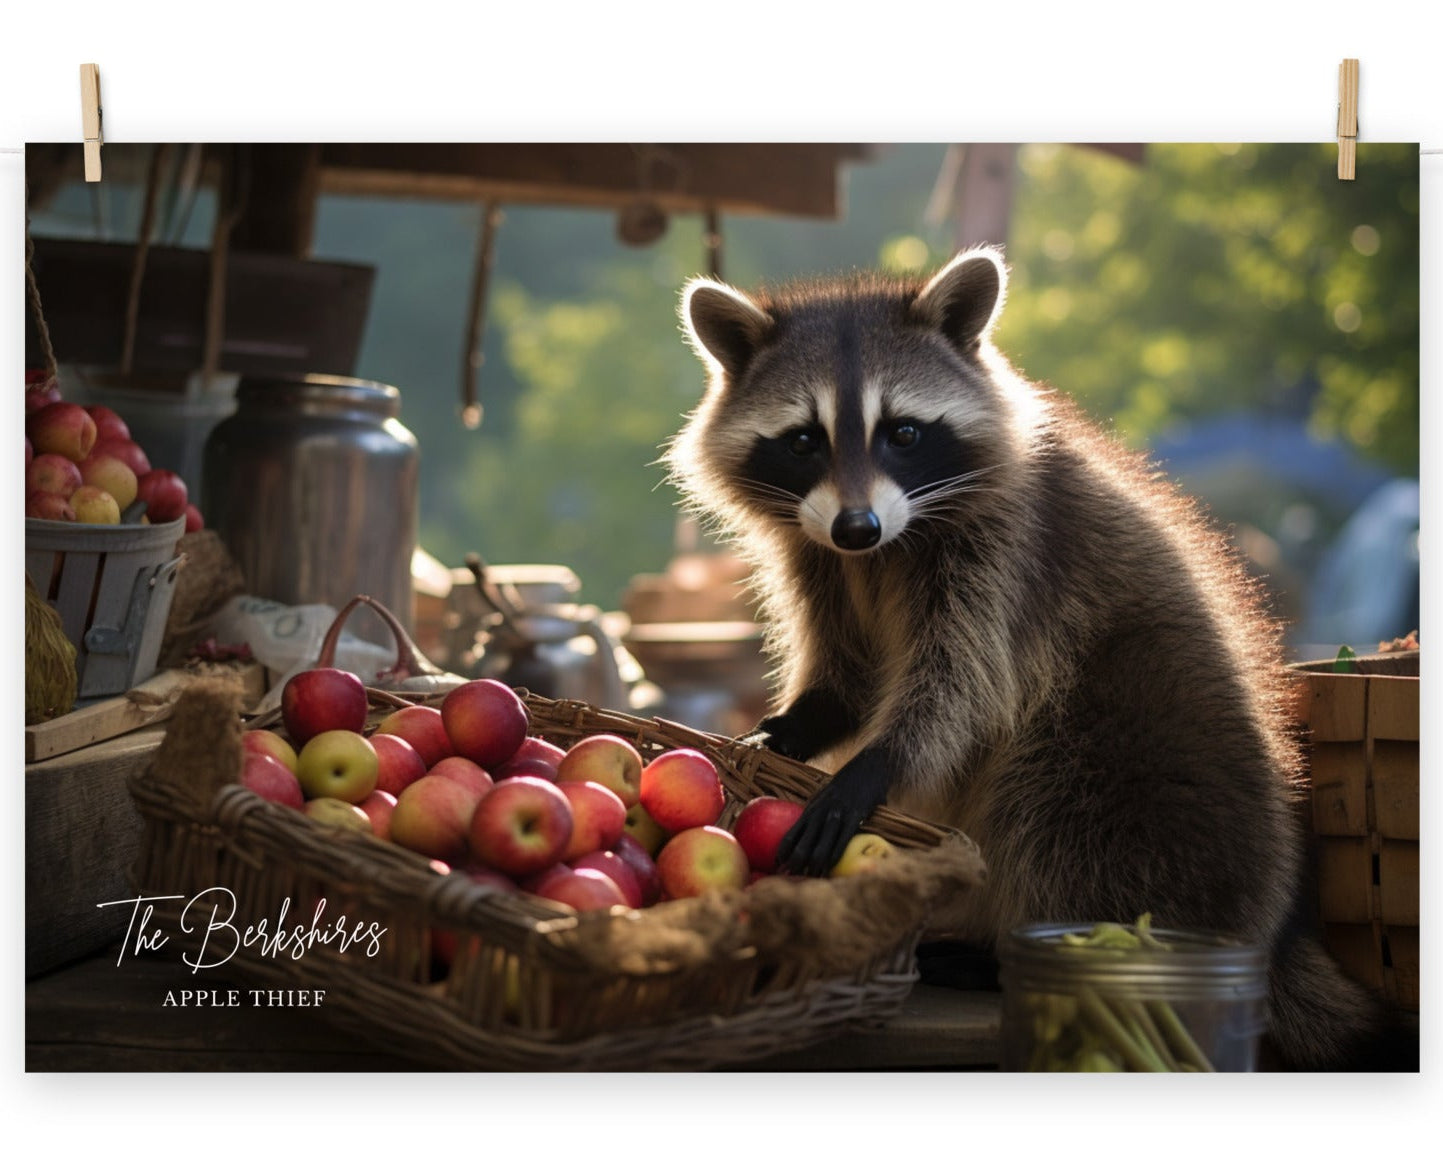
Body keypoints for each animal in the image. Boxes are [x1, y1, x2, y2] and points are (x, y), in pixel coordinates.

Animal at [664, 248, 1404, 1071]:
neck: (885, 548)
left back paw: (1012, 950)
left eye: (903, 432)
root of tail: (1273, 935)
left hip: (1135, 750)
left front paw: (874, 765)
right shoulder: (817, 554)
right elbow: (851, 674)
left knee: (1051, 798)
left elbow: (965, 687)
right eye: (803, 440)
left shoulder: (1013, 551)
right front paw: (792, 727)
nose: (857, 526)